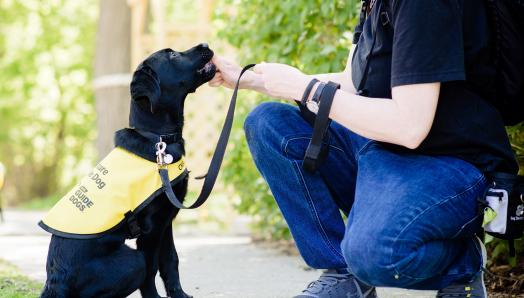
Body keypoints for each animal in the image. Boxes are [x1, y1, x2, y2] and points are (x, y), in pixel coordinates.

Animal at [40, 44, 217, 298]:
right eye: (173, 55)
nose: (206, 45)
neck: (158, 138)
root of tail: (55, 283)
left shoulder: (166, 221)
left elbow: (171, 261)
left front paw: (179, 295)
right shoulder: (152, 228)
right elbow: (152, 269)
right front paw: (154, 297)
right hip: (132, 261)